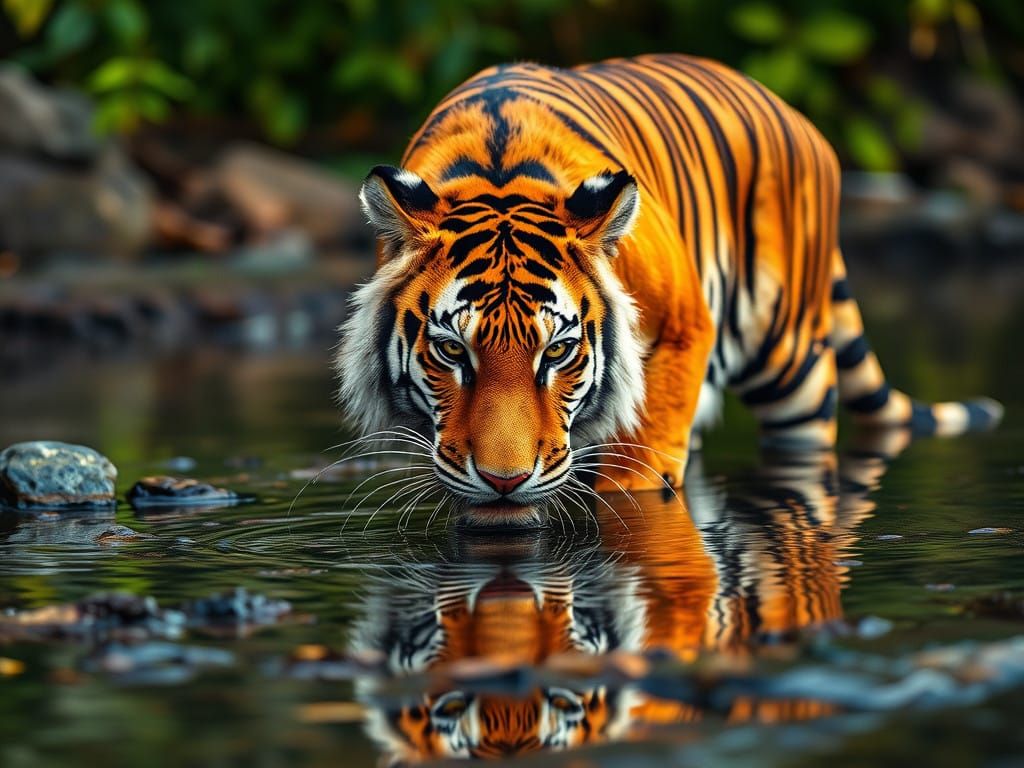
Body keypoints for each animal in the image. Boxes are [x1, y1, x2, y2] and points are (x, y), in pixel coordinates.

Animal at [335, 53, 1003, 527]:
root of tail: (795, 114)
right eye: (452, 351)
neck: (498, 175)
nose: (505, 481)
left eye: (557, 352)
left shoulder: (685, 326)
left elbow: (644, 453)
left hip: (792, 368)